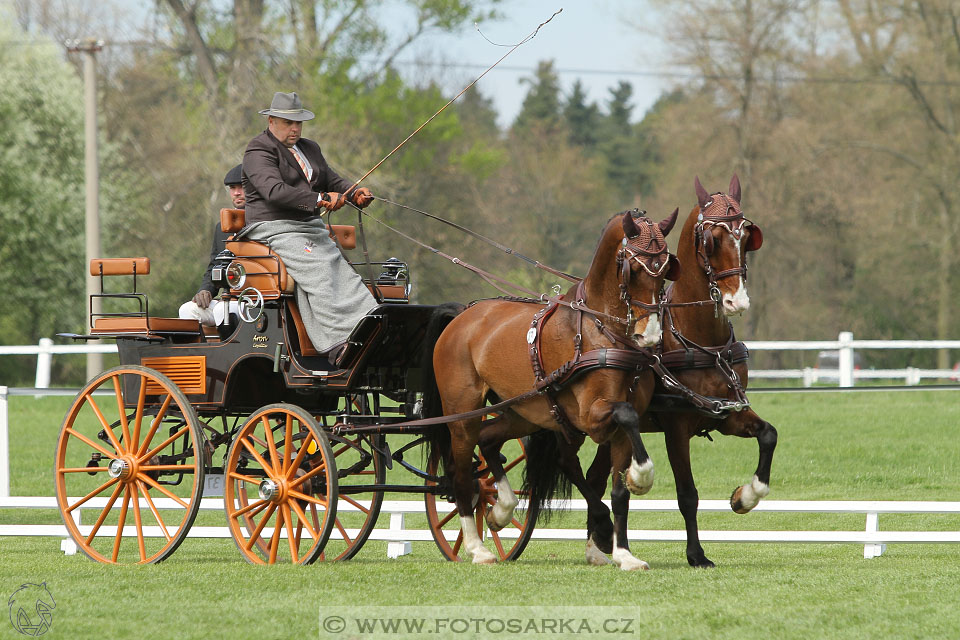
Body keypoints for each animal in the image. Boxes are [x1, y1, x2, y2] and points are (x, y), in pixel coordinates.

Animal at [424, 210, 680, 564]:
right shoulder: (591, 416)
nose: (650, 335)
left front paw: (624, 554)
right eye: (634, 268)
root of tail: (464, 314)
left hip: (523, 411)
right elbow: (625, 415)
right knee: (461, 473)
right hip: (464, 414)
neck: (602, 330)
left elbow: (619, 493)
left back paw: (502, 510)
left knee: (488, 440)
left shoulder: (615, 429)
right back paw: (477, 548)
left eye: (666, 269)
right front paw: (641, 478)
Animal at [584, 172, 780, 568]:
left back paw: (599, 546)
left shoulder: (727, 415)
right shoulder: (676, 428)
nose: (737, 301)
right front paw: (696, 554)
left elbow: (769, 435)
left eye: (746, 236)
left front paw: (744, 496)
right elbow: (688, 494)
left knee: (595, 477)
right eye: (712, 238)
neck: (703, 342)